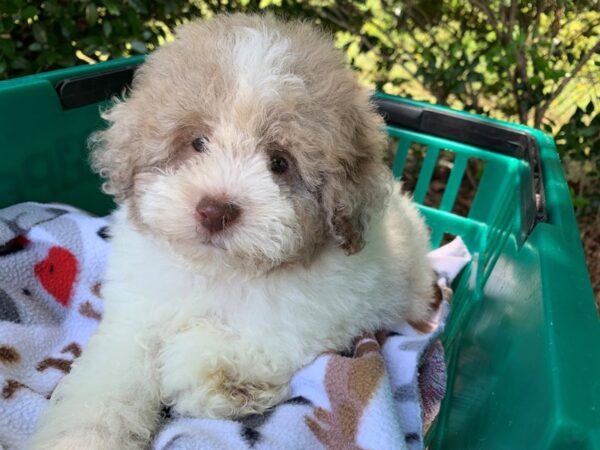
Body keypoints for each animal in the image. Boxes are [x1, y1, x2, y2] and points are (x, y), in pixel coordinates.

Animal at [30, 14, 434, 450]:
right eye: (197, 142)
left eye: (279, 162)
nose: (214, 210)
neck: (220, 271)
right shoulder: (137, 311)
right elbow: (109, 383)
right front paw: (81, 436)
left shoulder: (318, 317)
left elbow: (235, 346)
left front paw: (205, 374)